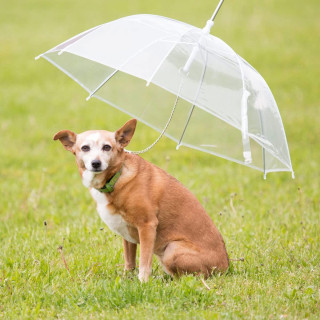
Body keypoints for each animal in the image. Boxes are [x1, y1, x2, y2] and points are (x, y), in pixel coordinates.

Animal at [53, 119, 228, 282]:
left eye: (107, 147)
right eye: (85, 148)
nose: (96, 163)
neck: (115, 178)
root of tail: (226, 266)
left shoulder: (147, 226)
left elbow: (144, 260)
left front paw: (143, 282)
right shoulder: (126, 234)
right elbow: (129, 261)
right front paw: (128, 278)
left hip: (172, 249)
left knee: (195, 276)